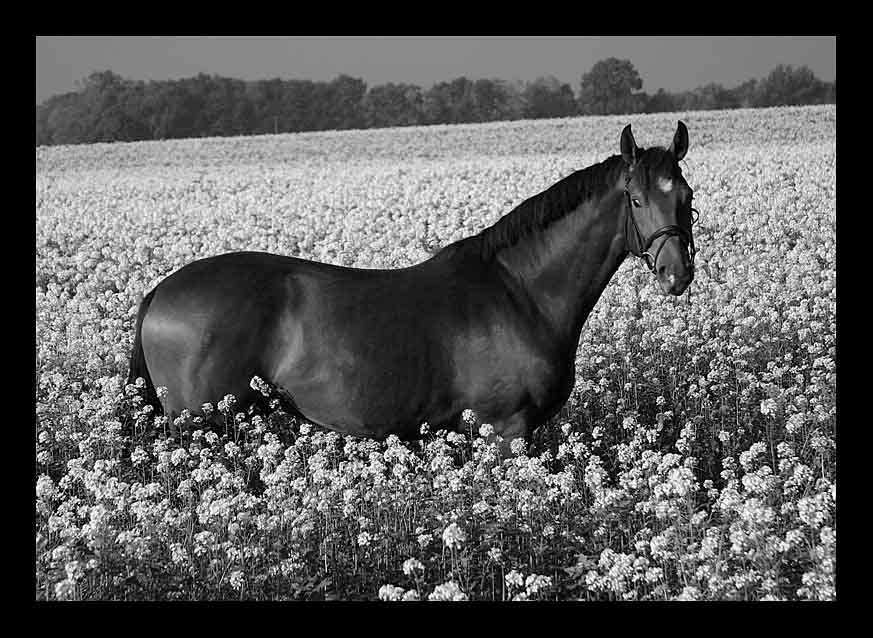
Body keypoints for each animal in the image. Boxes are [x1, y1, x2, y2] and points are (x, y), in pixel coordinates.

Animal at [126, 122, 700, 456]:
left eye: (687, 195)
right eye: (636, 199)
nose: (677, 274)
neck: (521, 294)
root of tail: (160, 293)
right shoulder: (507, 431)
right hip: (201, 425)